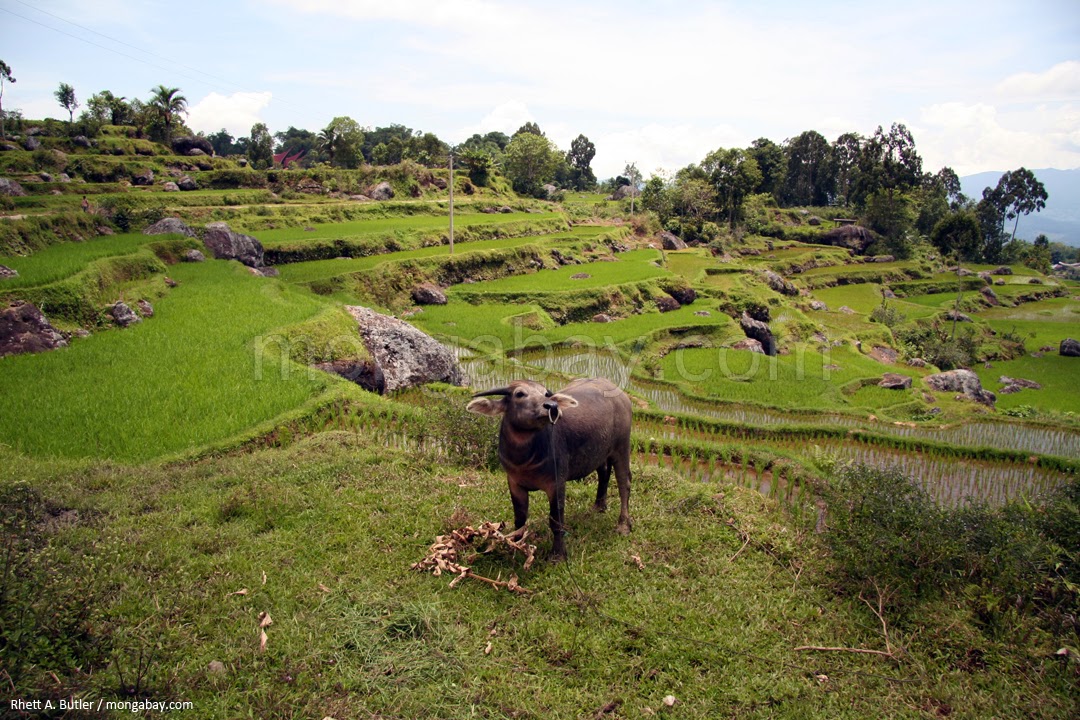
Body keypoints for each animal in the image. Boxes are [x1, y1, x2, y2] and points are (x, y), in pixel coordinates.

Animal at [466, 377, 630, 561]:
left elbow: (556, 520)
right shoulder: (514, 483)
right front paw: (515, 544)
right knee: (604, 472)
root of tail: (621, 395)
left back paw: (623, 525)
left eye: (545, 393)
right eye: (519, 394)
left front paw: (558, 555)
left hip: (622, 448)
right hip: (600, 452)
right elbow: (520, 519)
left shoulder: (556, 484)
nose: (552, 406)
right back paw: (599, 506)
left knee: (624, 484)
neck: (525, 460)